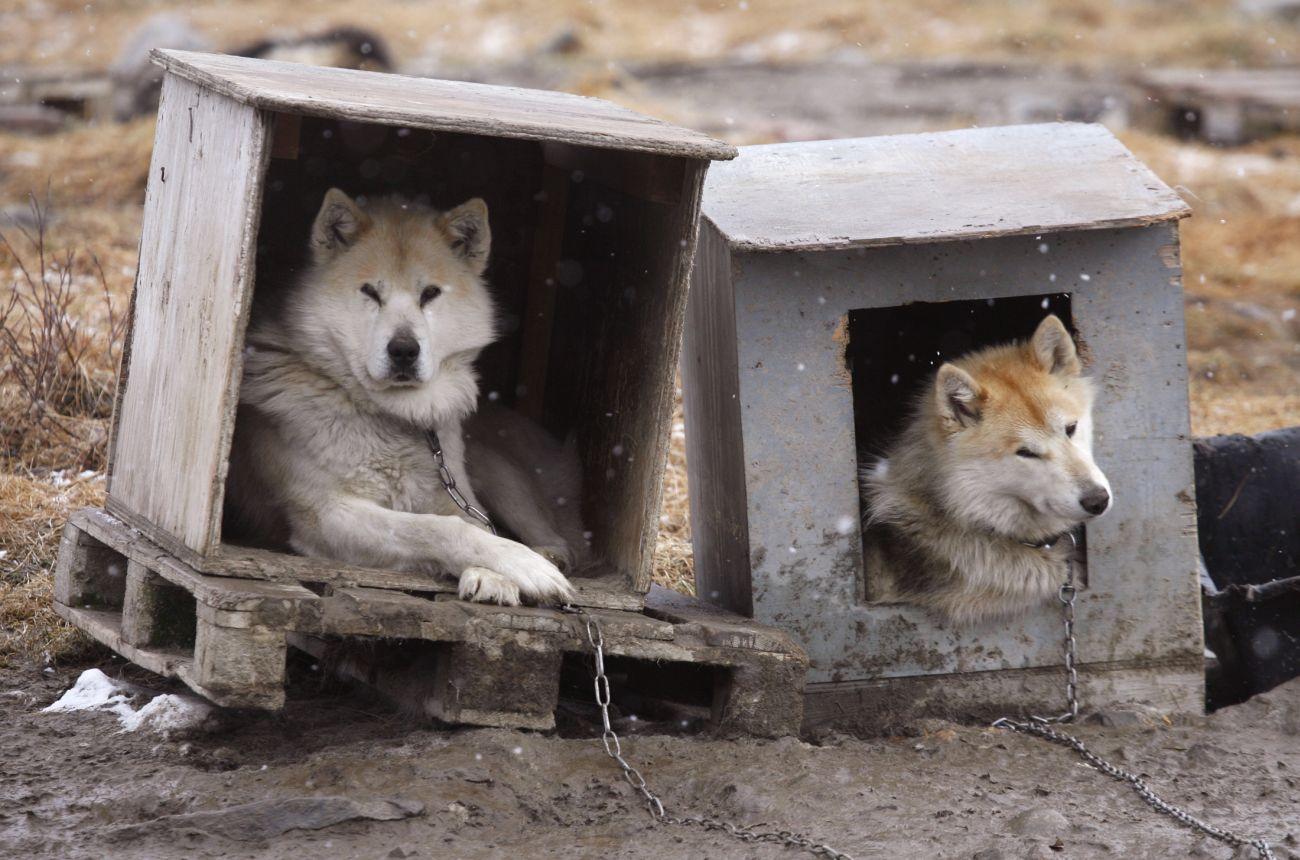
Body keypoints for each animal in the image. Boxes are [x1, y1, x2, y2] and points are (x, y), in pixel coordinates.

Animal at [224, 188, 574, 605]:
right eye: (371, 292)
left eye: (430, 294)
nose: (404, 350)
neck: (394, 419)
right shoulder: (325, 513)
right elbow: (439, 528)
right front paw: (520, 567)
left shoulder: (453, 493)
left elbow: (474, 524)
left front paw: (497, 573)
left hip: (502, 479)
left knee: (553, 533)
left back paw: (549, 553)